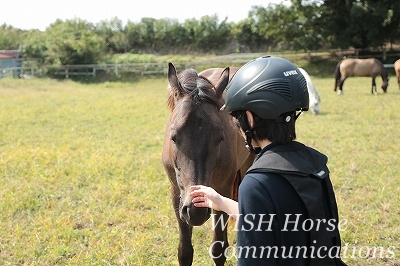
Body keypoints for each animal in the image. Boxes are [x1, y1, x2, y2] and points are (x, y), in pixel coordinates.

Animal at [162, 64, 253, 266]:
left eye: (220, 137)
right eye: (173, 136)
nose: (195, 210)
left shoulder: (223, 191)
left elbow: (218, 249)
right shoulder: (176, 194)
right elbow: (185, 252)